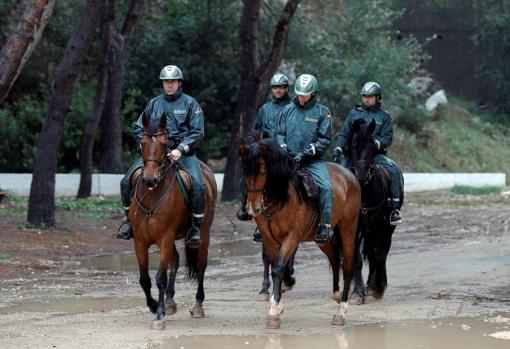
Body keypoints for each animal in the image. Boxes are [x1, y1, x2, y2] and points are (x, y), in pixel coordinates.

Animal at [130, 111, 216, 326]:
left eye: (164, 143)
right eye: (142, 142)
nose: (150, 179)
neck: (152, 195)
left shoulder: (165, 238)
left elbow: (160, 276)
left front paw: (159, 314)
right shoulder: (140, 241)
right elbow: (144, 279)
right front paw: (154, 305)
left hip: (203, 234)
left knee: (201, 265)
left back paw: (198, 306)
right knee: (175, 261)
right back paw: (169, 302)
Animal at [240, 135, 362, 328]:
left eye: (262, 171)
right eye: (244, 171)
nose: (253, 208)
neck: (281, 197)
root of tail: (350, 176)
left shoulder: (292, 236)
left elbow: (279, 267)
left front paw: (273, 312)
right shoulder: (269, 238)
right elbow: (276, 266)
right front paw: (278, 303)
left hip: (348, 227)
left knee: (348, 265)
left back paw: (341, 312)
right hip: (323, 239)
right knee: (335, 259)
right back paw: (336, 294)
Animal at [348, 118, 404, 304]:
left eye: (373, 146)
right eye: (354, 144)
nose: (362, 175)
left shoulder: (383, 225)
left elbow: (380, 254)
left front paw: (376, 287)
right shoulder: (356, 228)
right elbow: (357, 259)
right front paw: (357, 293)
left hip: (385, 227)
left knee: (380, 252)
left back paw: (375, 284)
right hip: (368, 230)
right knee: (371, 253)